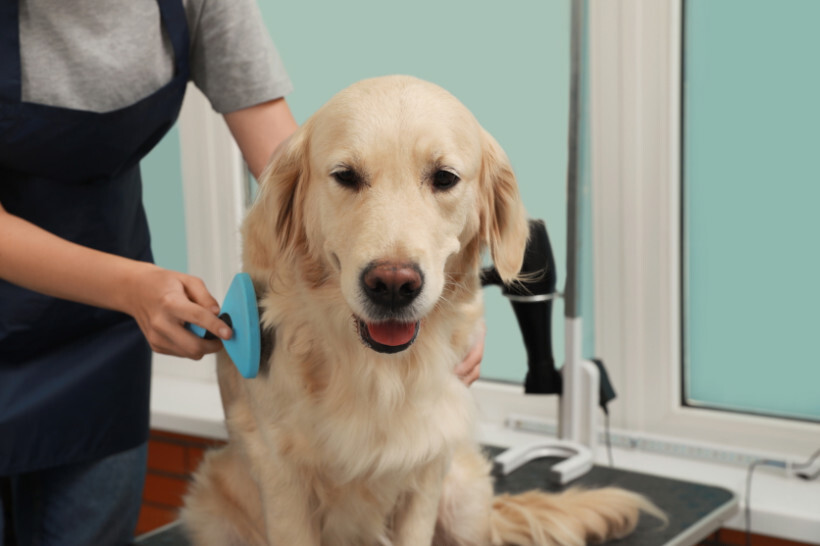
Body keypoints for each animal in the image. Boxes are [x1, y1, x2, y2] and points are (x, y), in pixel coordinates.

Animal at [183, 73, 664, 544]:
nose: (393, 286)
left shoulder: (428, 464)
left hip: (464, 500)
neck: (379, 371)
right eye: (345, 176)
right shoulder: (281, 477)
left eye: (444, 178)